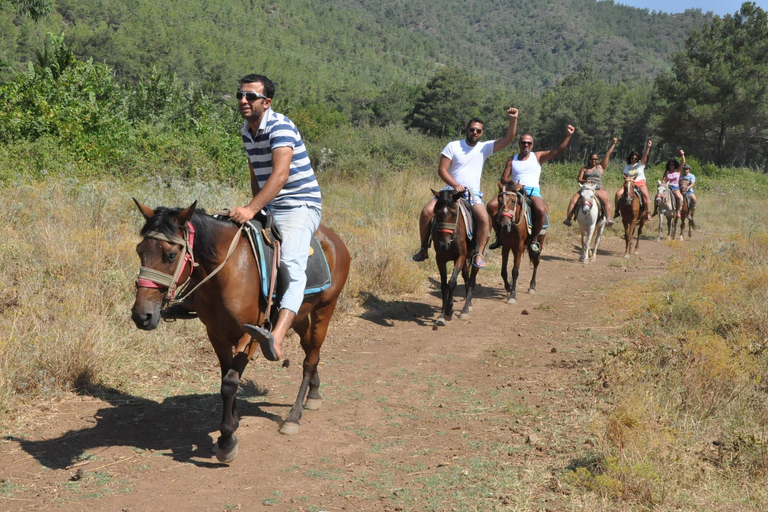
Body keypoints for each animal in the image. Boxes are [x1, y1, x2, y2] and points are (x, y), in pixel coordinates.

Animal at [130, 200, 350, 463]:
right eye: (140, 251)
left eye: (171, 255)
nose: (141, 315)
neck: (229, 272)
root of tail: (335, 239)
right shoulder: (216, 334)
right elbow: (225, 377)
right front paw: (233, 423)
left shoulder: (250, 336)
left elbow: (230, 382)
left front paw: (226, 440)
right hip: (300, 315)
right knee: (310, 350)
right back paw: (314, 393)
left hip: (325, 309)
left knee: (311, 358)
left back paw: (294, 416)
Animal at [430, 189, 479, 326]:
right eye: (436, 213)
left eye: (454, 213)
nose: (443, 244)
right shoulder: (440, 259)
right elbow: (444, 285)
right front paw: (442, 315)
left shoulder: (460, 257)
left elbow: (452, 282)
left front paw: (449, 310)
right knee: (466, 276)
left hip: (474, 257)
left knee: (471, 279)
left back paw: (466, 308)